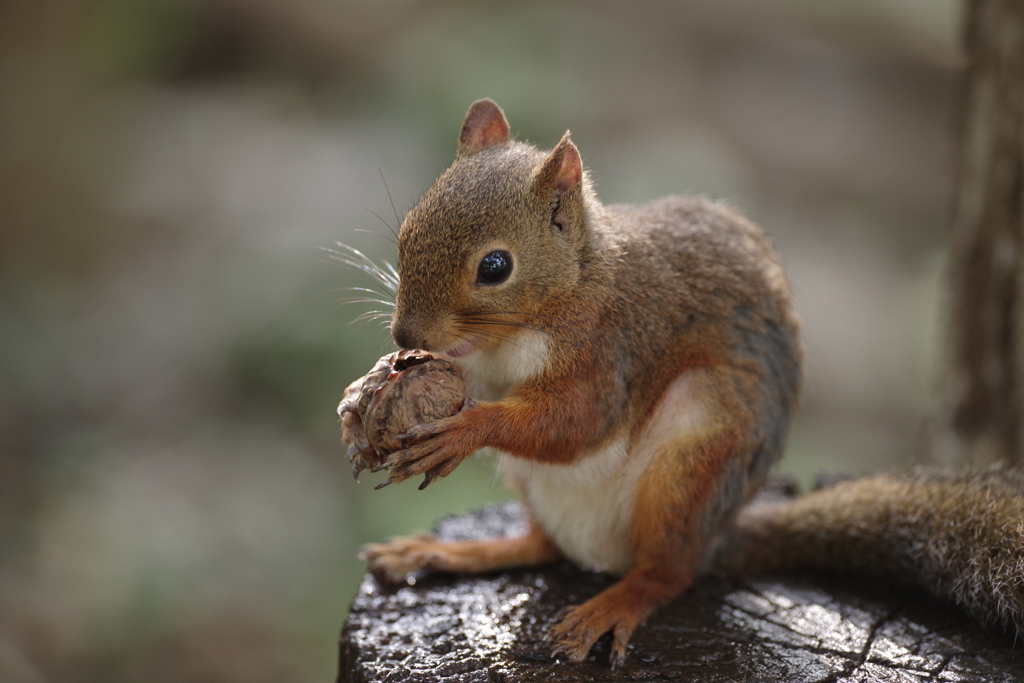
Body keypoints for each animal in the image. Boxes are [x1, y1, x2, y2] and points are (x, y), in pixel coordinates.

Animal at [352, 100, 1024, 667]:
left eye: (495, 267)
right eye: (409, 229)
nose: (403, 331)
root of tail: (719, 536)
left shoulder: (613, 349)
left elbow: (576, 422)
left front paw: (466, 428)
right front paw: (381, 385)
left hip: (697, 448)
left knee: (668, 572)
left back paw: (615, 603)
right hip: (544, 488)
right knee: (544, 546)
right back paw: (453, 553)